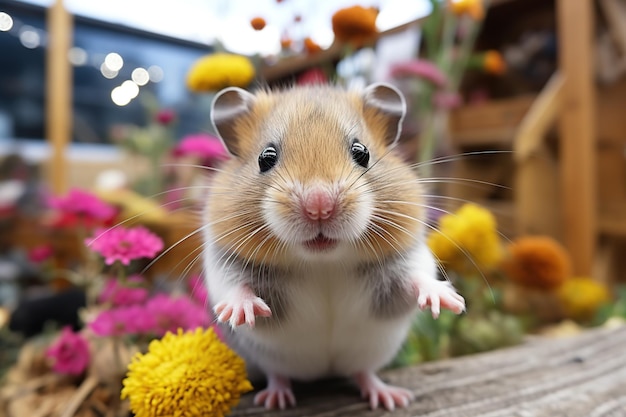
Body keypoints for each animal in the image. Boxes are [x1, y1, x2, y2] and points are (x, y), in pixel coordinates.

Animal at [201, 82, 464, 410]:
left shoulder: (405, 257)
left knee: (363, 372)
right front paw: (242, 311)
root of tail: (322, 373)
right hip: (266, 357)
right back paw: (276, 400)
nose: (319, 206)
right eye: (265, 158)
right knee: (278, 373)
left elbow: (417, 277)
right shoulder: (225, 259)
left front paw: (451, 302)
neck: (323, 262)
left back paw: (390, 398)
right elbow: (235, 286)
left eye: (362, 152)